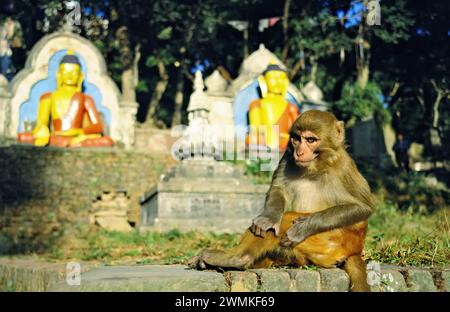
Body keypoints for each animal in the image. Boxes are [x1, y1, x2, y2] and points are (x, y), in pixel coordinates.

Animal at [188, 111, 374, 292]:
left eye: (311, 140)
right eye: (297, 139)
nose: (299, 152)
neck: (316, 166)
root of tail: (355, 249)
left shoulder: (344, 165)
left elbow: (362, 207)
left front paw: (303, 227)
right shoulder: (287, 155)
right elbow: (278, 188)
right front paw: (269, 218)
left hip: (333, 240)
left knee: (287, 219)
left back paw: (237, 258)